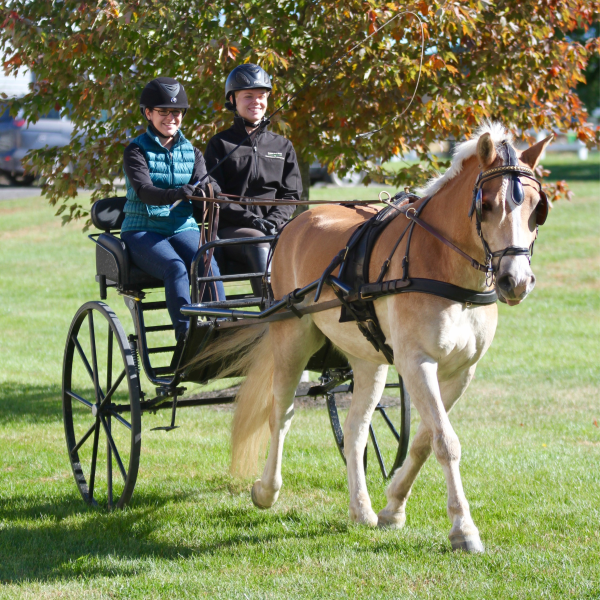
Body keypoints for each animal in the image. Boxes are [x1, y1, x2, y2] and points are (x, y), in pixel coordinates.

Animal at [211, 122, 552, 552]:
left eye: (537, 208)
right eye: (487, 204)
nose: (515, 281)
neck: (444, 265)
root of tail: (298, 221)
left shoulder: (461, 371)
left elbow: (423, 440)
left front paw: (393, 508)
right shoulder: (416, 362)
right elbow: (446, 442)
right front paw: (463, 529)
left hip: (367, 360)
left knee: (355, 430)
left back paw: (361, 508)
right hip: (291, 338)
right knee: (281, 413)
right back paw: (266, 490)